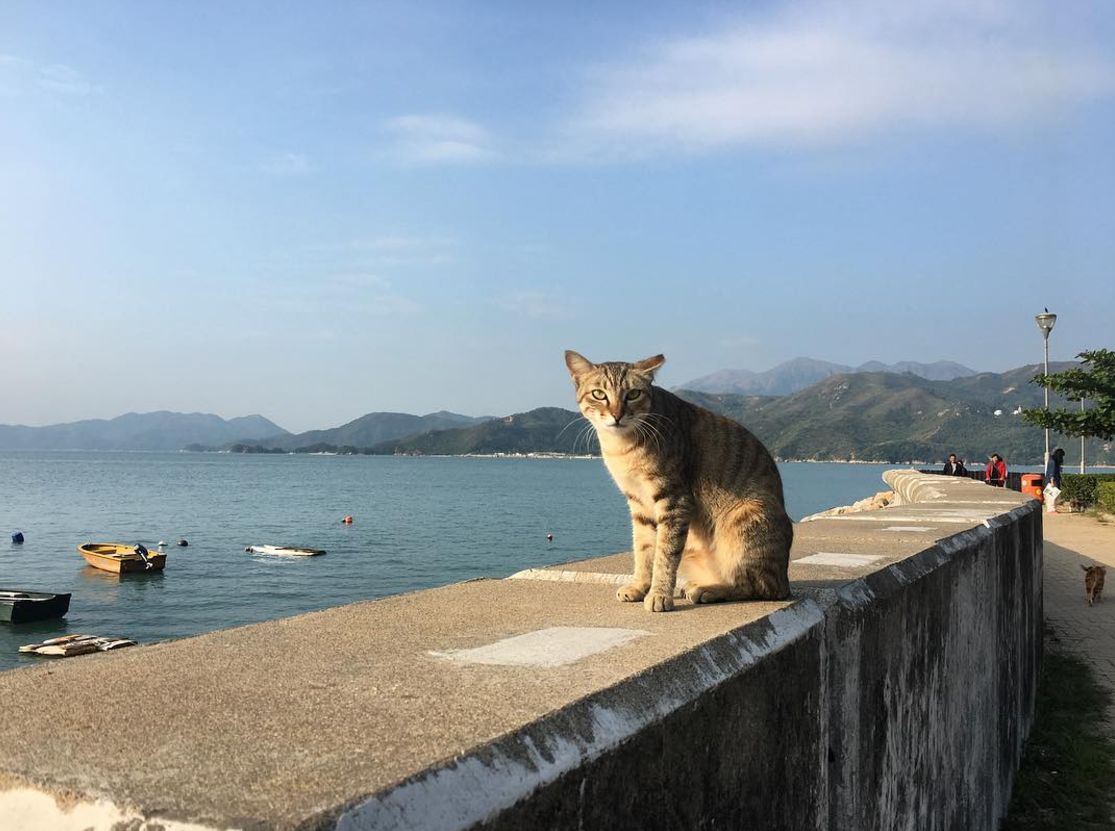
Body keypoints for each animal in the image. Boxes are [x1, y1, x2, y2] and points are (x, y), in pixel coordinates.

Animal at [566, 345, 793, 611]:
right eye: (599, 394)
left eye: (633, 394)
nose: (617, 415)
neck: (622, 447)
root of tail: (785, 579)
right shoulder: (638, 503)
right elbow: (643, 549)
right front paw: (639, 586)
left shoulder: (674, 498)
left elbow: (665, 554)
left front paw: (659, 594)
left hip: (747, 518)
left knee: (758, 586)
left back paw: (708, 590)